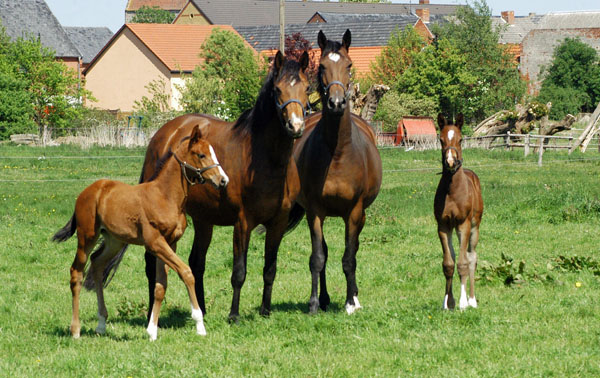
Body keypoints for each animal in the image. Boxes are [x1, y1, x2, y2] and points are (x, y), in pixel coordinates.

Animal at [52, 125, 227, 342]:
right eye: (201, 154)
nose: (223, 180)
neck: (165, 197)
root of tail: (87, 191)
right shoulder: (154, 243)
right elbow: (186, 272)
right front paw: (199, 324)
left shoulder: (170, 242)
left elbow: (160, 286)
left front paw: (152, 330)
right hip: (87, 237)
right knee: (76, 272)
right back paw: (75, 330)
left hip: (114, 240)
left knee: (98, 264)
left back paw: (101, 323)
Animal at [103, 50, 310, 322]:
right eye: (277, 89)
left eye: (307, 88)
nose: (295, 127)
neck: (266, 161)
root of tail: (165, 133)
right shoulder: (242, 223)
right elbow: (239, 272)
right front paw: (234, 315)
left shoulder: (278, 222)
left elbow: (270, 269)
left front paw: (265, 311)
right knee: (151, 263)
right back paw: (151, 312)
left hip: (204, 220)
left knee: (196, 262)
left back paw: (199, 309)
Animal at [288, 28, 382, 314]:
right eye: (321, 66)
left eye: (349, 66)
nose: (337, 102)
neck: (339, 155)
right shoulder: (315, 212)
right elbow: (318, 257)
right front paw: (314, 303)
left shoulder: (354, 212)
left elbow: (349, 257)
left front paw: (351, 302)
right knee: (326, 252)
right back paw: (326, 298)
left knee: (354, 249)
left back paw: (355, 296)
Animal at [432, 114, 482, 310]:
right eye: (441, 139)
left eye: (460, 139)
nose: (451, 162)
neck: (452, 191)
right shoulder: (443, 226)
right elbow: (448, 263)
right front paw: (448, 302)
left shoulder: (463, 225)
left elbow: (463, 263)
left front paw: (462, 303)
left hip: (474, 227)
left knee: (472, 257)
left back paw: (472, 300)